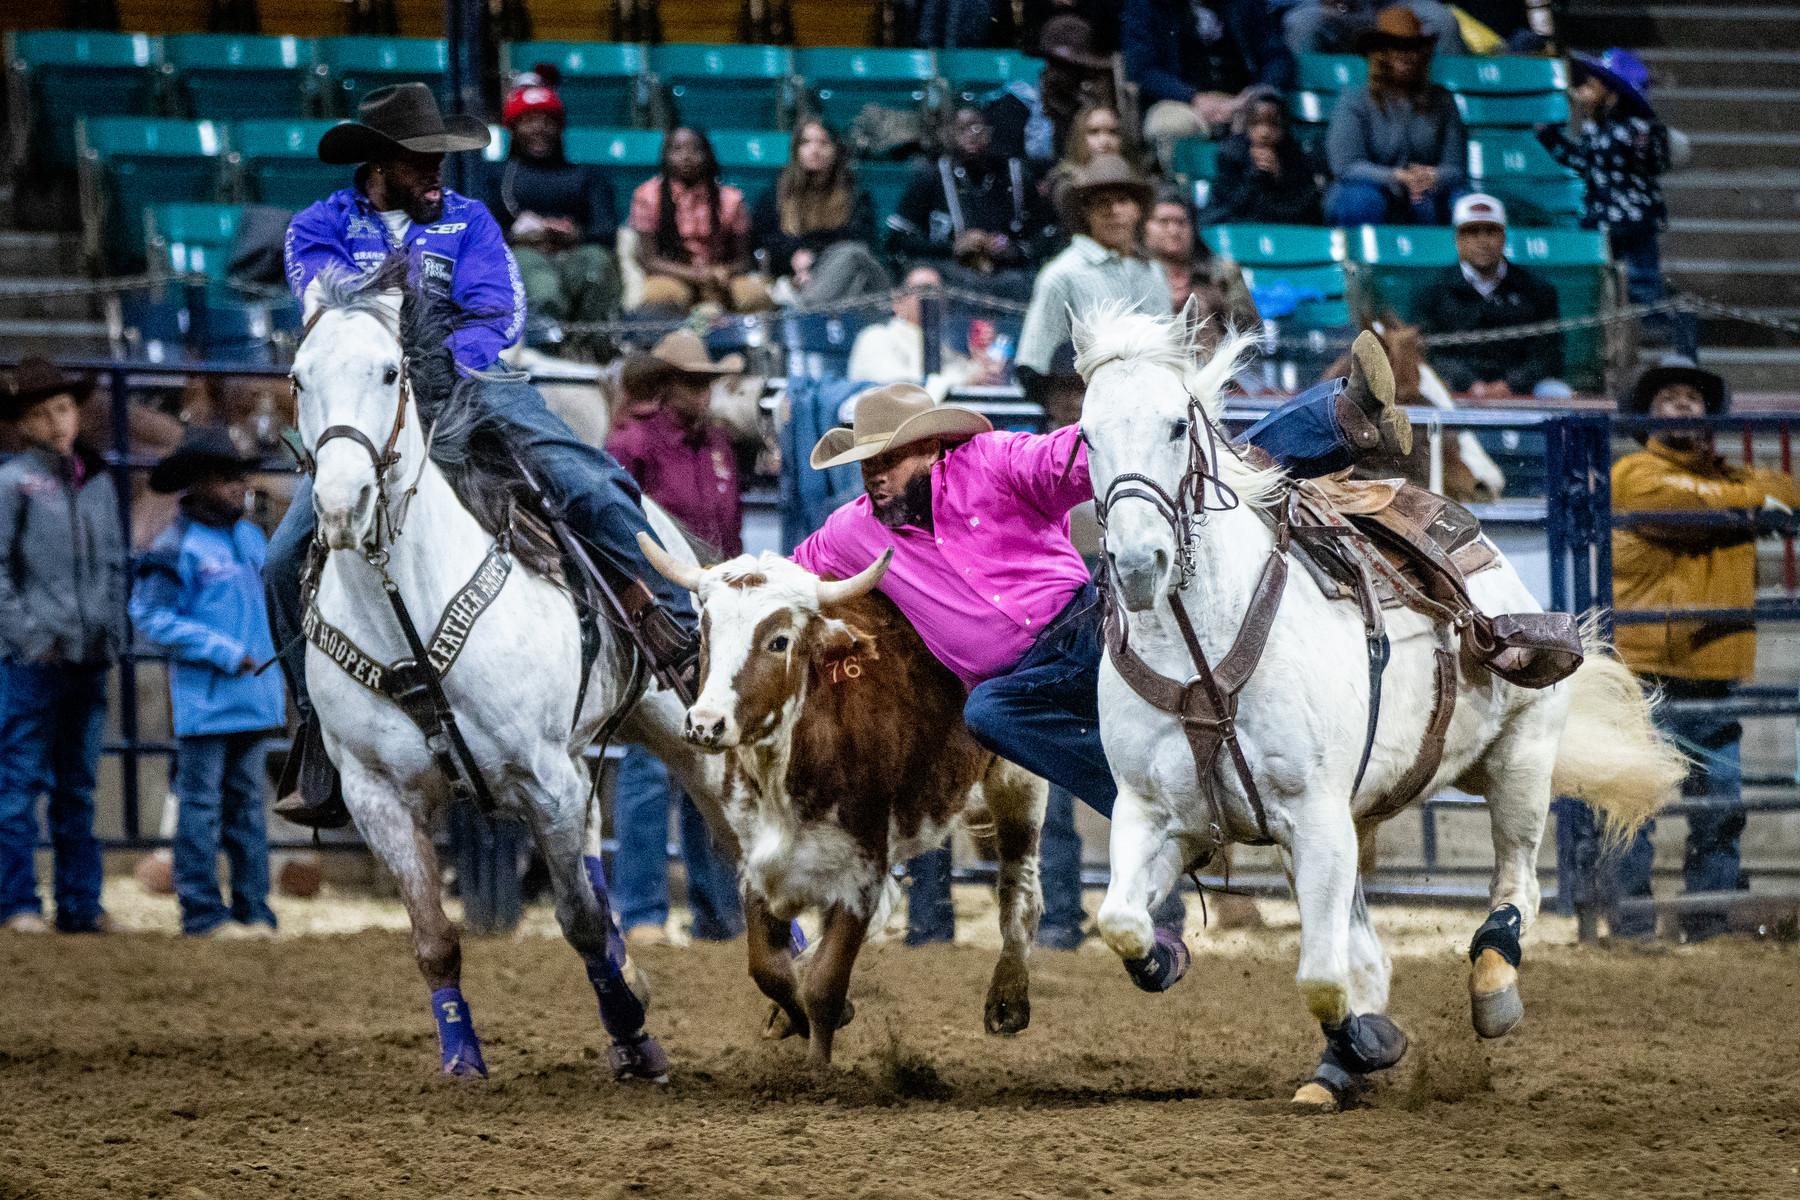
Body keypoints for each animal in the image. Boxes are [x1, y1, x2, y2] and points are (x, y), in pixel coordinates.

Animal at [291, 268, 720, 1086]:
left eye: (389, 372)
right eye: (299, 378)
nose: (339, 504)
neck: (406, 609)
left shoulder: (542, 778)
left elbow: (579, 922)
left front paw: (632, 1028)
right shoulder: (376, 795)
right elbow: (435, 939)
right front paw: (462, 1056)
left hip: (678, 727)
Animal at [1065, 307, 1684, 1108]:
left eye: (1176, 425)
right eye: (1086, 435)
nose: (1140, 565)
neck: (1205, 651)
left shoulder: (1317, 815)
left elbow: (1323, 978)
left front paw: (1369, 1042)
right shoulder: (1156, 813)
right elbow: (1121, 922)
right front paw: (1165, 961)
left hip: (1520, 760)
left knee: (1515, 886)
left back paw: (1492, 990)